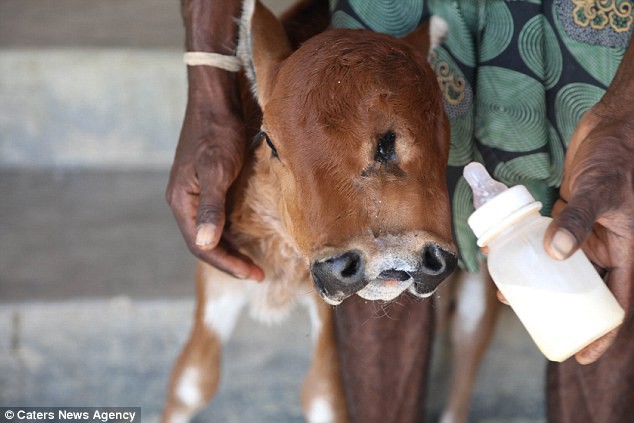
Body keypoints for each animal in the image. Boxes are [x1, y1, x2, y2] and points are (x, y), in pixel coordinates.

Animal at [160, 1, 452, 422]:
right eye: (268, 140)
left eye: (390, 140)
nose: (389, 259)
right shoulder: (217, 272)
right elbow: (191, 381)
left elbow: (323, 394)